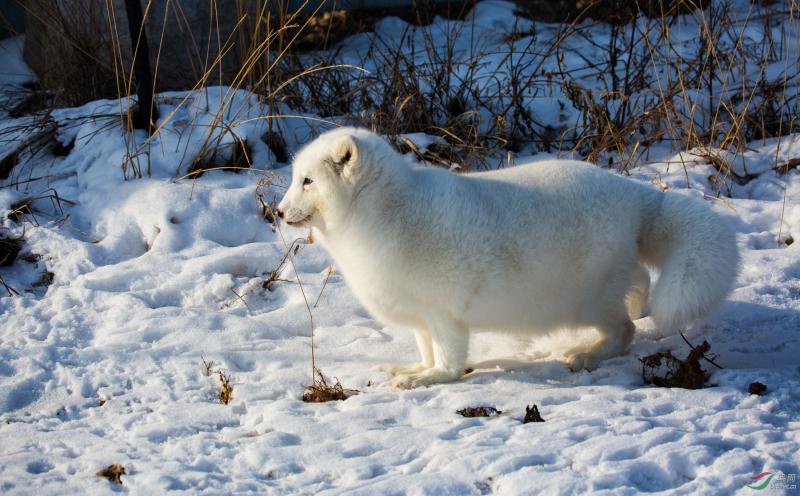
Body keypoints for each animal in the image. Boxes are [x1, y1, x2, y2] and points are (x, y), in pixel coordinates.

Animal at [276, 127, 736, 388]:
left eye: (308, 181)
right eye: (296, 179)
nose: (278, 212)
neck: (387, 213)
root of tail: (635, 194)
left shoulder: (445, 314)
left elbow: (449, 359)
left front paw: (432, 379)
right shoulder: (420, 317)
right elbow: (426, 350)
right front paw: (413, 370)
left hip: (586, 301)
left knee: (624, 331)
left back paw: (588, 354)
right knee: (639, 282)